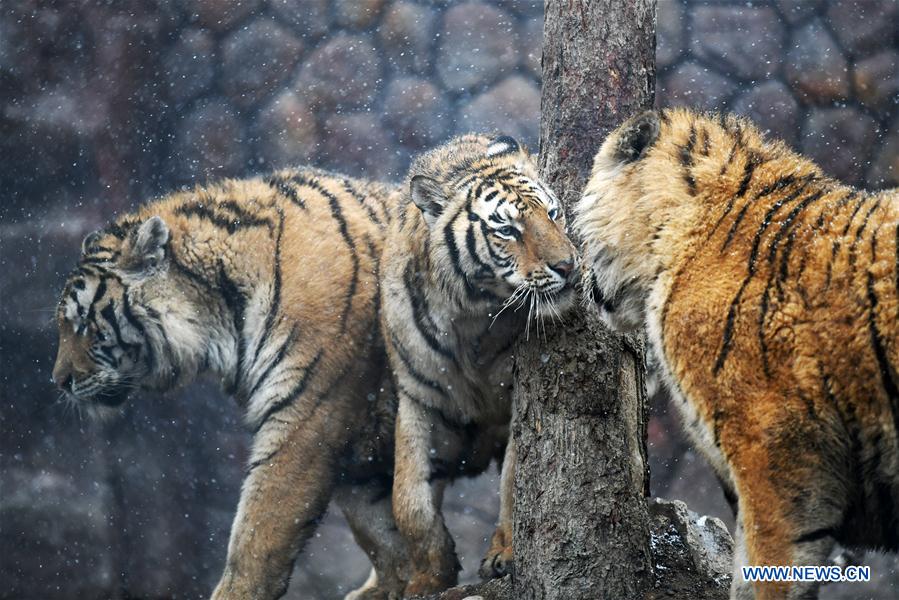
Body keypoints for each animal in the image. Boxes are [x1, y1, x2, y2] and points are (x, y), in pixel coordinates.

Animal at [51, 167, 411, 600]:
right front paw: (405, 581)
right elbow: (383, 531)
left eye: (83, 325)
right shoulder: (354, 446)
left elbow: (259, 529)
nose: (59, 381)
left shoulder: (306, 417)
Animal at [381, 134, 579, 595]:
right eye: (507, 230)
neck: (469, 314)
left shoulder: (517, 399)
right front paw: (427, 578)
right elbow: (408, 499)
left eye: (554, 214)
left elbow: (515, 480)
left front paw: (505, 554)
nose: (568, 266)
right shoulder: (418, 398)